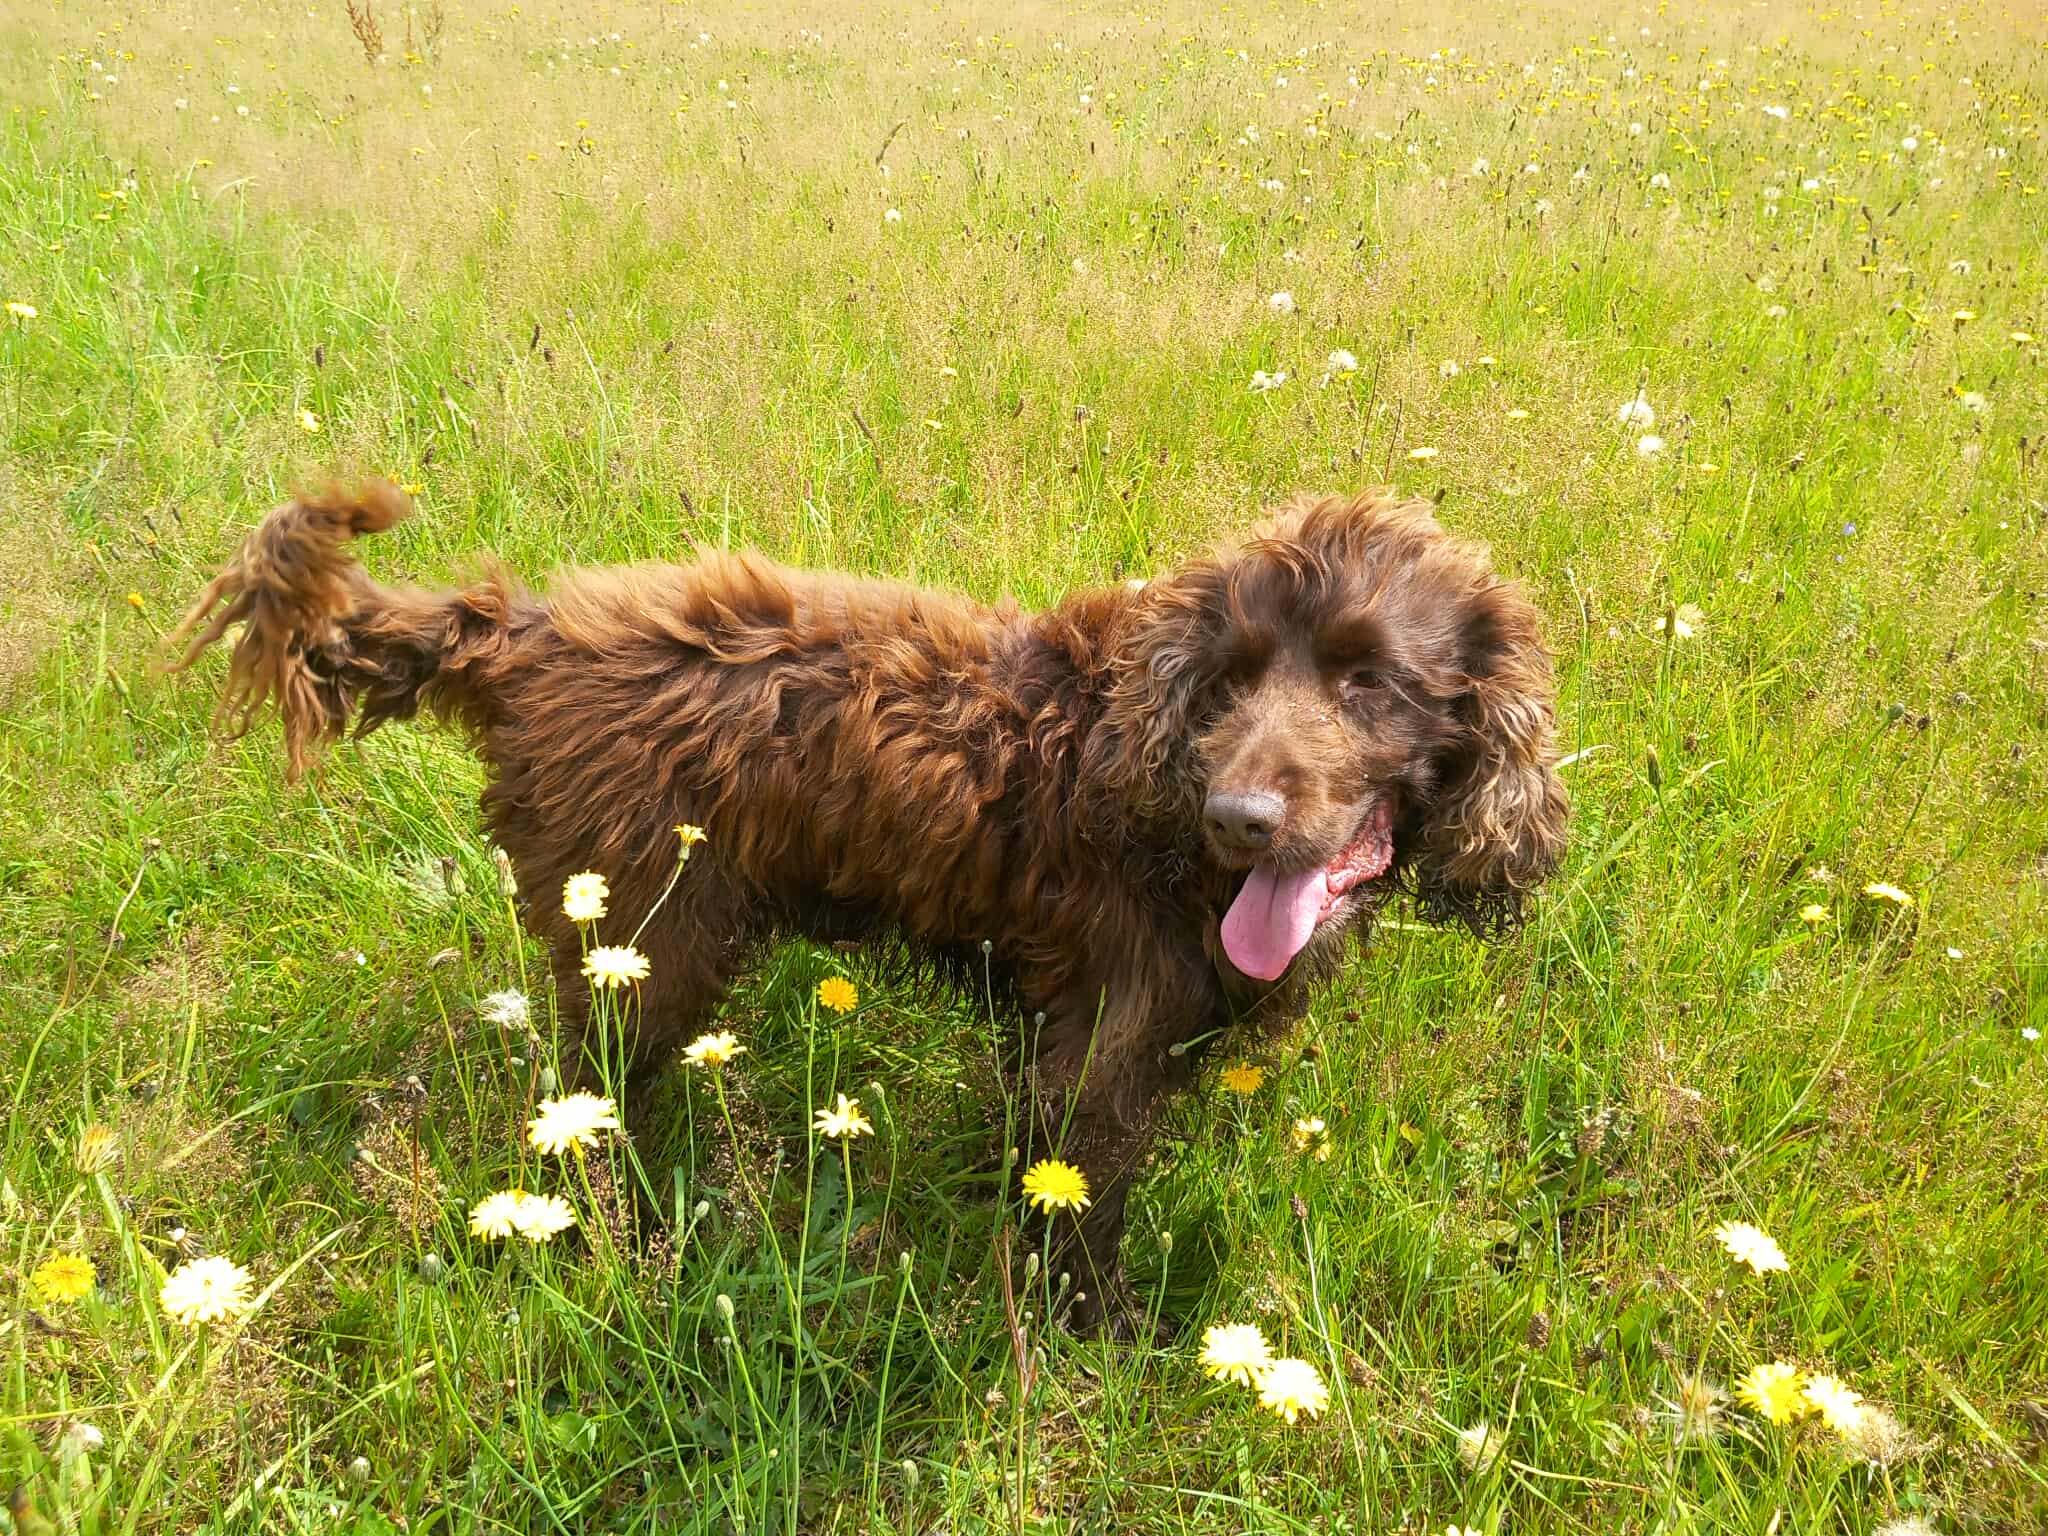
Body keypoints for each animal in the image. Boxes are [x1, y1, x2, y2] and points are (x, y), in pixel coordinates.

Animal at [171, 483, 1566, 1334]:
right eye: (1226, 679)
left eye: (1371, 682)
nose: (1238, 816)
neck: (1137, 770)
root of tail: (521, 630)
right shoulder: (1099, 1043)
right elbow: (1085, 1207)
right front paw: (1099, 1336)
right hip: (643, 945)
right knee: (587, 1101)